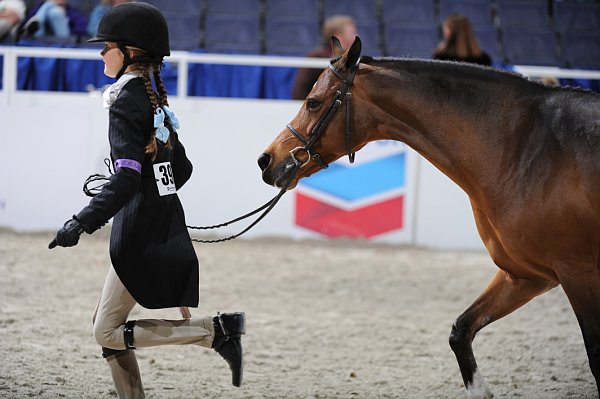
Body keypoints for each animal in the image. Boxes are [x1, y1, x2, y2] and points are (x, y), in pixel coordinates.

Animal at [256, 36, 600, 398]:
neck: (525, 149)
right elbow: (461, 331)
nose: (267, 160)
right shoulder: (527, 275)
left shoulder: (578, 273)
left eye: (313, 102)